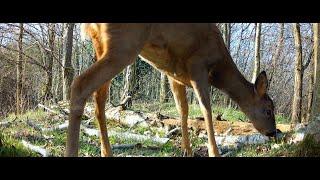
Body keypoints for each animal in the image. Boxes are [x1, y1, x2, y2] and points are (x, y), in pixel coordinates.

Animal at [64, 23, 276, 157]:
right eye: (268, 110)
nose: (273, 132)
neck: (218, 68)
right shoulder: (197, 65)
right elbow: (206, 110)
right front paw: (214, 152)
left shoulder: (174, 75)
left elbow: (183, 110)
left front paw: (187, 150)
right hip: (124, 44)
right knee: (80, 84)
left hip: (101, 45)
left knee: (99, 100)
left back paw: (107, 151)